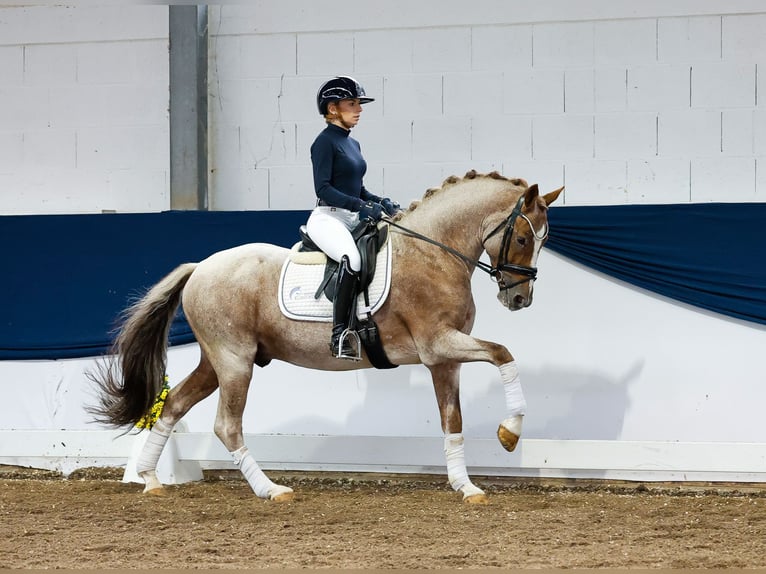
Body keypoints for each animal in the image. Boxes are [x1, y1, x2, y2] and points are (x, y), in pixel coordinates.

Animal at [90, 170, 564, 504]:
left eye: (544, 241)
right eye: (524, 237)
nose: (519, 298)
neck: (433, 251)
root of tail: (200, 267)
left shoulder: (442, 359)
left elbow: (453, 423)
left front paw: (466, 487)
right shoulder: (439, 343)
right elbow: (504, 354)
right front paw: (509, 433)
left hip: (217, 361)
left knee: (172, 405)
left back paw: (150, 479)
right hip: (235, 362)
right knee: (227, 425)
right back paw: (270, 490)